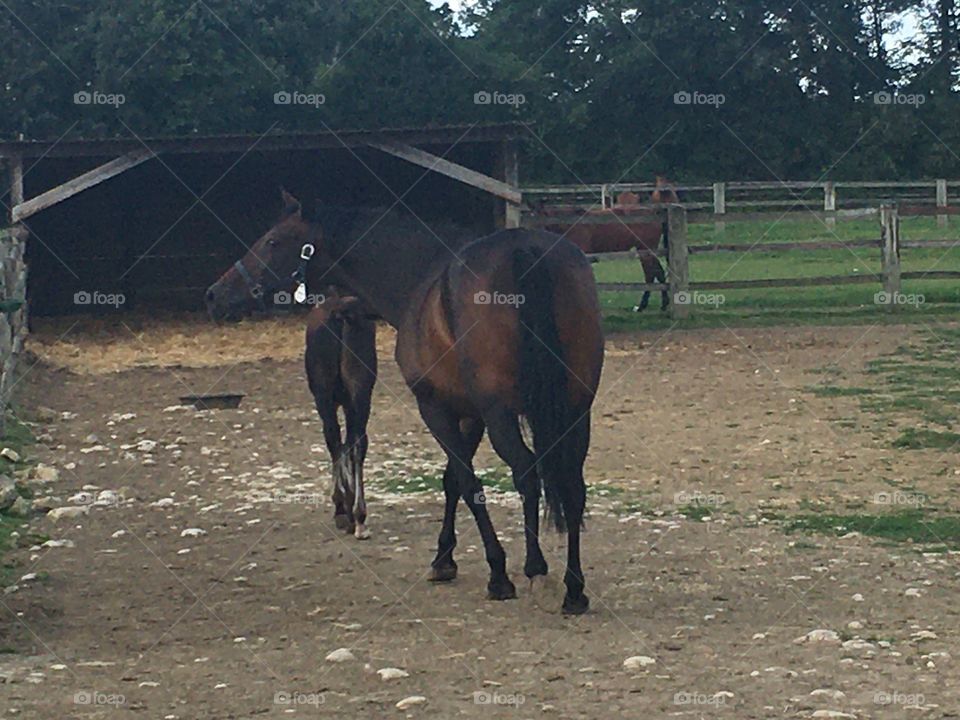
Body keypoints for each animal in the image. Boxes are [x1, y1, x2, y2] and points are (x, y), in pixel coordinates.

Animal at [304, 288, 377, 539]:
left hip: (324, 396)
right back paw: (359, 516)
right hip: (361, 391)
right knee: (358, 442)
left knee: (333, 438)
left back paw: (345, 511)